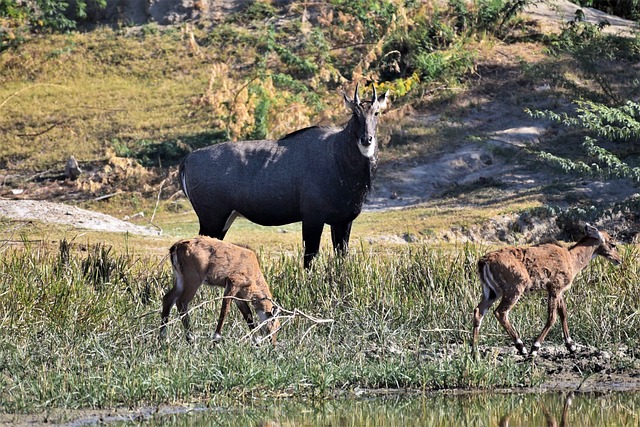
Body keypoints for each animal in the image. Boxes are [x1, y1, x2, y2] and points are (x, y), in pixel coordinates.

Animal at [178, 83, 388, 268]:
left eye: (376, 113)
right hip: (212, 219)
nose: (366, 139)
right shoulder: (312, 218)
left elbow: (341, 258)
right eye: (355, 113)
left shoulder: (343, 221)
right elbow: (309, 259)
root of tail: (187, 160)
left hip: (223, 220)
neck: (337, 155)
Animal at [470, 224, 620, 358]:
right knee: (500, 312)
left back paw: (474, 350)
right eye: (612, 244)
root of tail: (483, 262)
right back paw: (522, 347)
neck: (572, 259)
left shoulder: (559, 290)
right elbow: (552, 317)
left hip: (491, 291)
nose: (618, 260)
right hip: (514, 289)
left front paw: (571, 346)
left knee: (478, 311)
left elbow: (563, 313)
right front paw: (535, 348)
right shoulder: (555, 287)